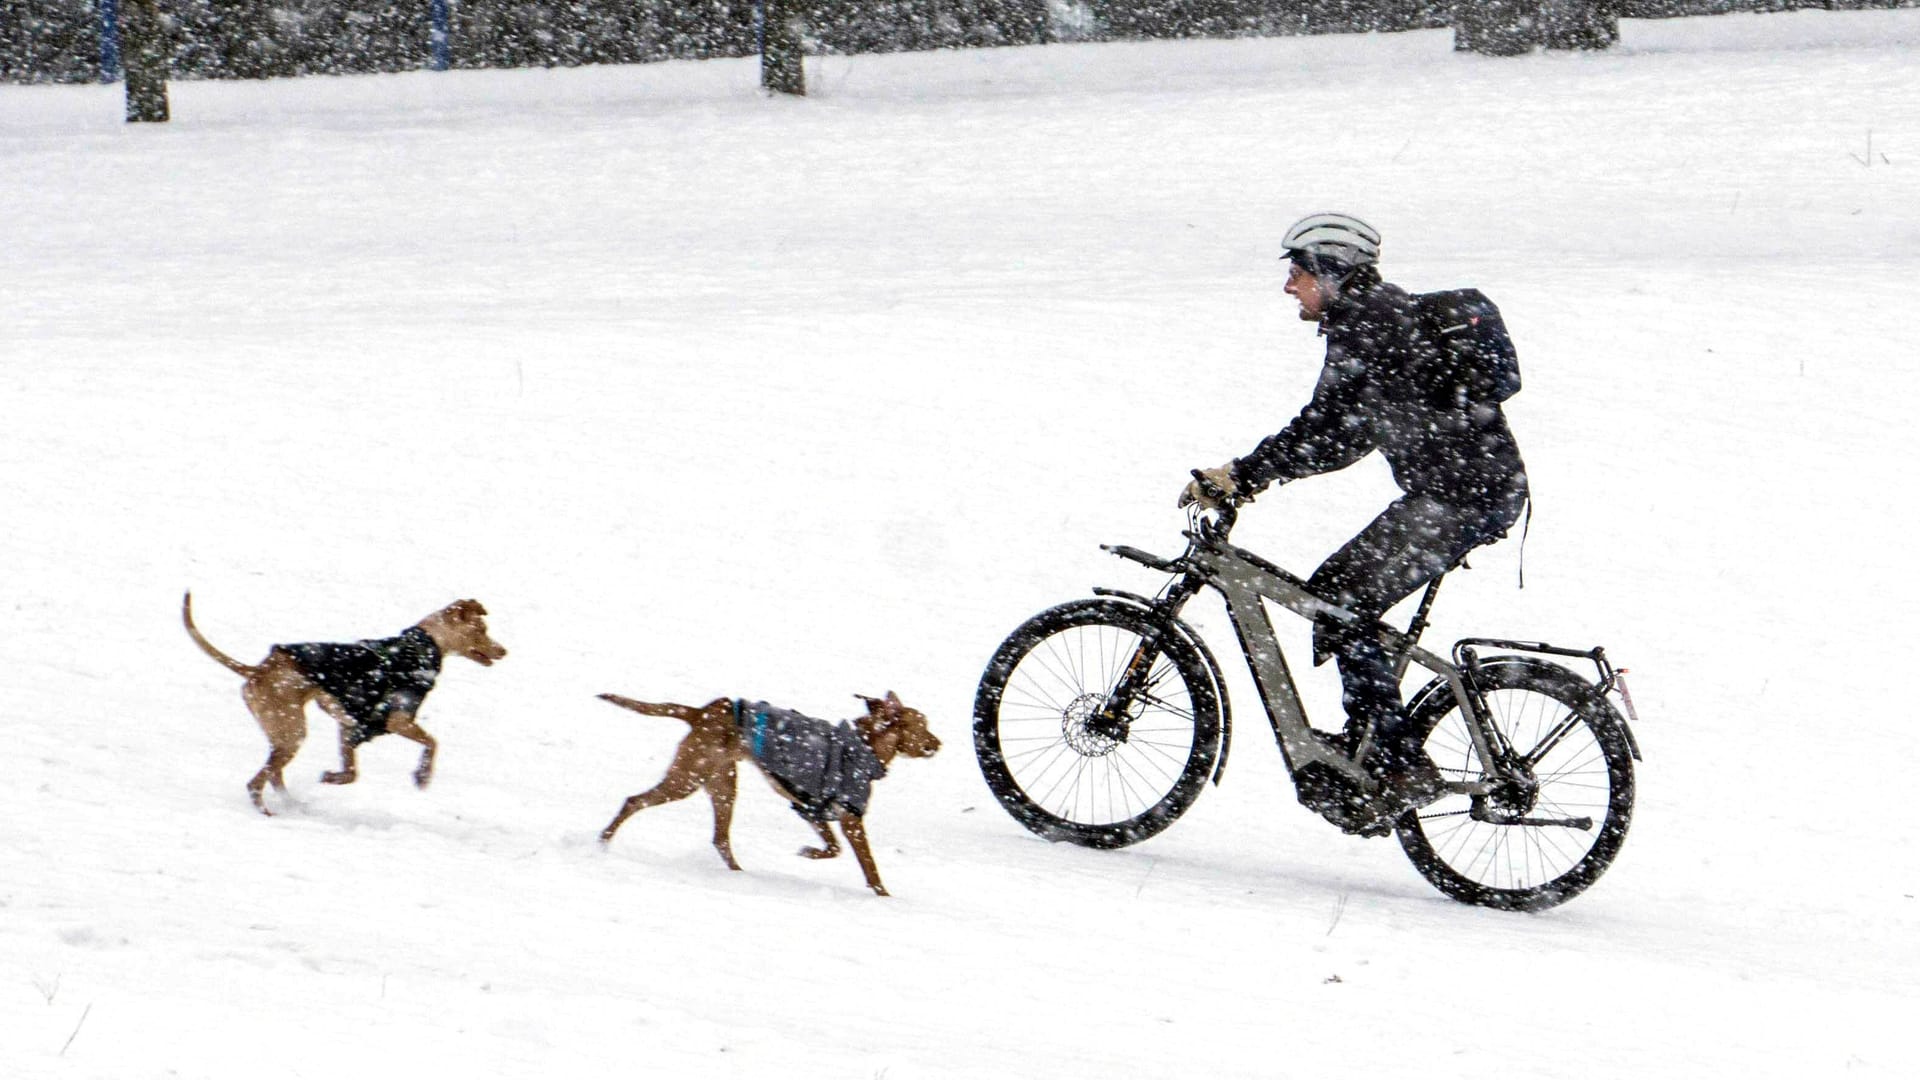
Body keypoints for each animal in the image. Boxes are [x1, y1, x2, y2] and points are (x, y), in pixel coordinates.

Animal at [180, 591, 506, 810]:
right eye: (481, 630)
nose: (503, 651)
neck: (423, 647)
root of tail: (259, 669)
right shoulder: (398, 719)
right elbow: (432, 743)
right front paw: (423, 776)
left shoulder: (350, 725)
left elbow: (351, 773)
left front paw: (331, 777)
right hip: (292, 731)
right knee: (257, 782)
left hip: (284, 734)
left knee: (272, 775)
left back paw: (293, 804)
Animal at [591, 691, 936, 895]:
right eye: (922, 726)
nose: (939, 743)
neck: (865, 746)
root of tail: (703, 711)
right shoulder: (850, 819)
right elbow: (870, 866)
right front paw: (885, 897)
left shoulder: (810, 809)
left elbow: (832, 848)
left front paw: (809, 852)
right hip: (686, 779)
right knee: (634, 801)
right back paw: (603, 842)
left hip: (723, 785)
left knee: (720, 839)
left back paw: (740, 876)